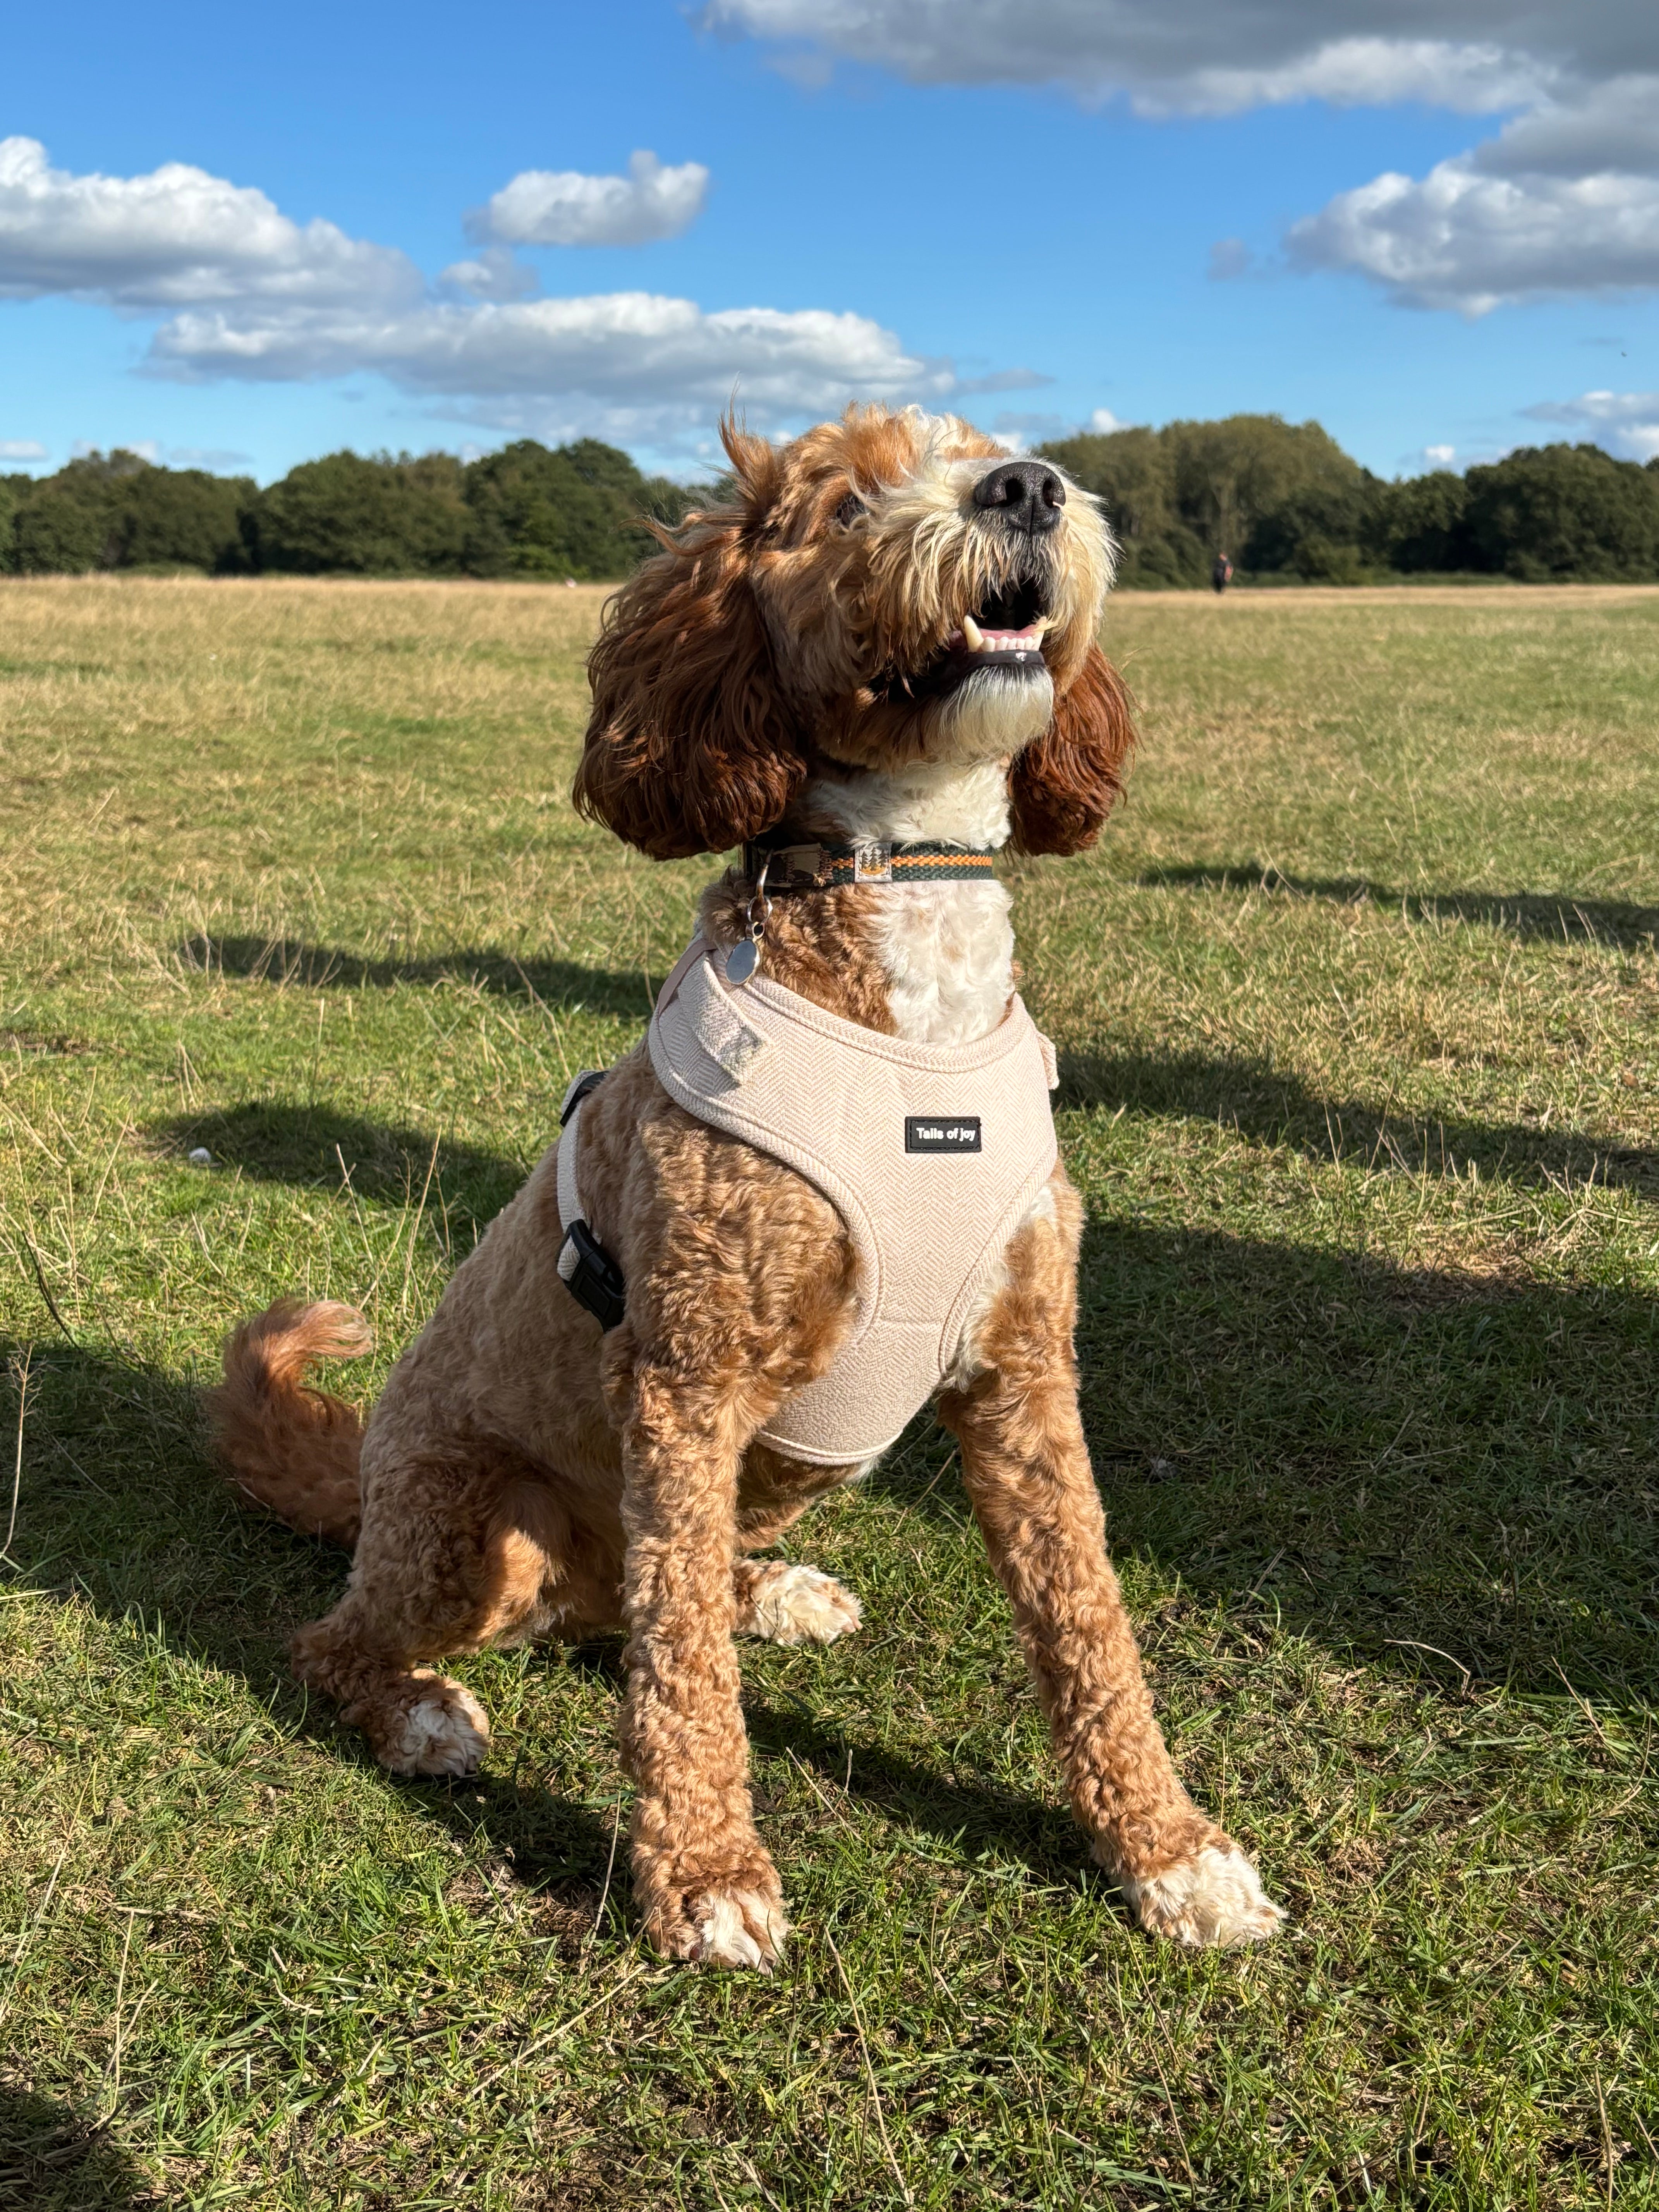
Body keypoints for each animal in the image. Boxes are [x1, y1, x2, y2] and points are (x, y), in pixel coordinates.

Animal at [208, 407, 1291, 1964]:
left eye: (993, 446)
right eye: (843, 501)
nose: (1024, 487)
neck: (906, 936)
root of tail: (357, 1480)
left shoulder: (1024, 1371)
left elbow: (1089, 1620)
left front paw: (1169, 1849)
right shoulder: (686, 1373)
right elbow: (684, 1691)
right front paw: (705, 1871)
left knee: (667, 1589)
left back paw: (763, 1591)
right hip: (482, 1532)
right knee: (353, 1639)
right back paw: (418, 1711)